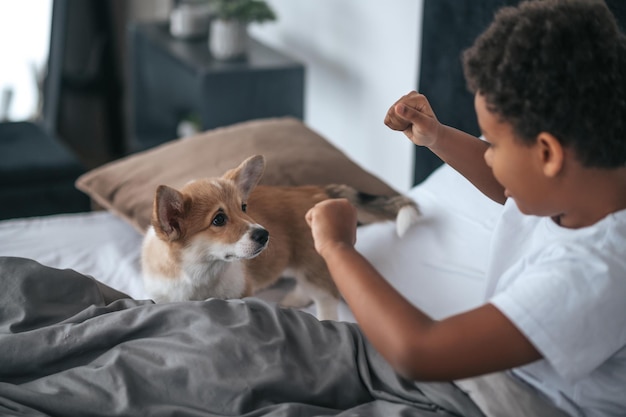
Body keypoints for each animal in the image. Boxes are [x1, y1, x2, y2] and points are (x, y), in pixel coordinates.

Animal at [139, 153, 416, 318]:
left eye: (243, 207)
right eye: (218, 220)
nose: (265, 235)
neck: (201, 272)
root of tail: (318, 192)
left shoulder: (241, 293)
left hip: (312, 263)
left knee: (325, 297)